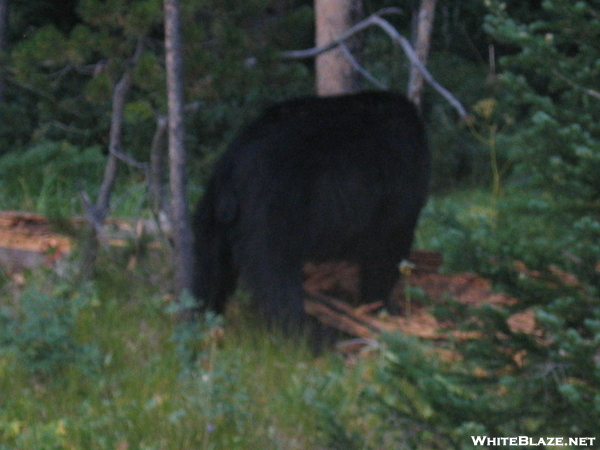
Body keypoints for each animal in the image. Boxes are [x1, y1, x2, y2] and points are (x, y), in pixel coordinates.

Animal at [190, 91, 428, 336]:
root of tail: (232, 166)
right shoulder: (398, 185)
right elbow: (386, 247)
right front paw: (381, 307)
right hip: (273, 210)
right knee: (276, 275)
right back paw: (304, 333)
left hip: (212, 215)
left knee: (209, 270)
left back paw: (202, 320)